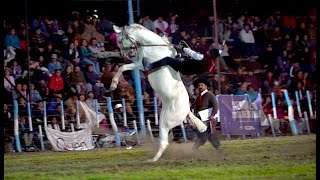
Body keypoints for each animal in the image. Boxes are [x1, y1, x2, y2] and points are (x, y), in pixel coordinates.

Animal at [110, 23, 208, 162]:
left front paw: (113, 85)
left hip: (164, 123)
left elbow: (123, 67)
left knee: (164, 142)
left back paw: (153, 160)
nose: (125, 55)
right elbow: (124, 66)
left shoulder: (140, 64)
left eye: (119, 40)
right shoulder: (138, 61)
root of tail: (186, 111)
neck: (154, 46)